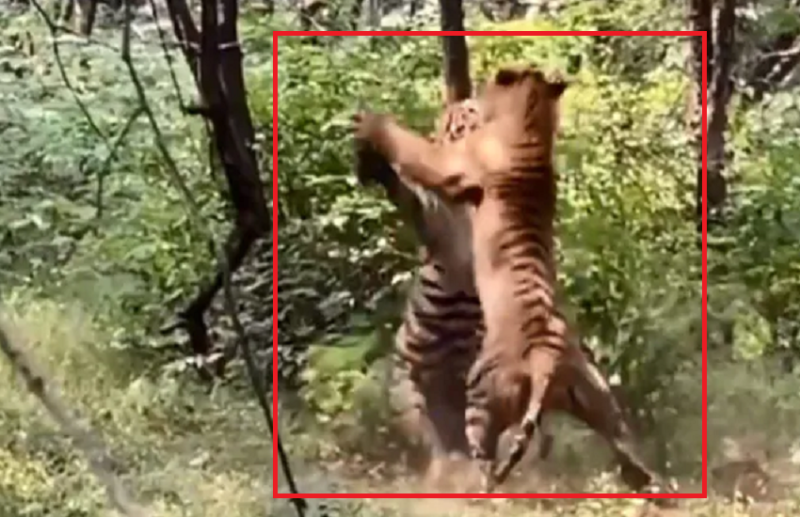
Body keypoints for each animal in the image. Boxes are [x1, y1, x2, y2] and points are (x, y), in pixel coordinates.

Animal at [352, 64, 663, 495]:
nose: (464, 103)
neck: (532, 125)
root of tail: (546, 360)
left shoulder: (449, 167)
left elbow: (410, 145)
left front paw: (370, 122)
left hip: (479, 399)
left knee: (478, 454)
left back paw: (476, 486)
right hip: (599, 397)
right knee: (624, 443)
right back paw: (649, 483)